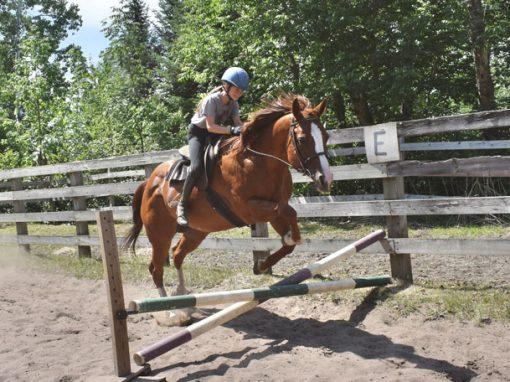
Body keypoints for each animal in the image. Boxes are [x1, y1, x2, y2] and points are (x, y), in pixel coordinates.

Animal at [122, 94, 332, 324]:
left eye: (326, 136)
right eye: (302, 139)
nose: (326, 180)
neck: (258, 161)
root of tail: (149, 182)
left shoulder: (272, 212)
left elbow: (291, 237)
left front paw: (261, 265)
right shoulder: (249, 209)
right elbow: (289, 214)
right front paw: (270, 256)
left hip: (196, 232)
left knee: (177, 255)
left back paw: (184, 299)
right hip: (160, 234)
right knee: (156, 268)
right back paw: (170, 312)